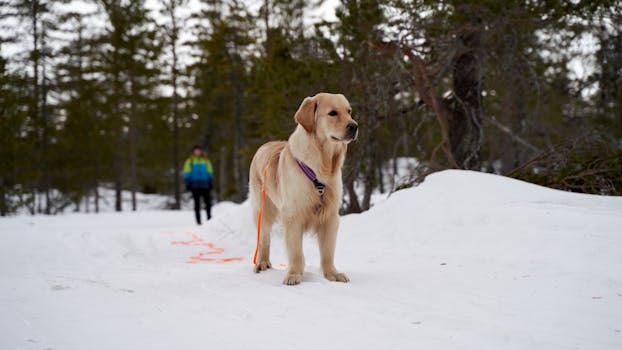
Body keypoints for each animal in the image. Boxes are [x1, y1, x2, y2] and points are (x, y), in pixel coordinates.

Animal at [247, 93, 356, 284]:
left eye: (349, 111)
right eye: (333, 113)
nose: (354, 126)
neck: (321, 167)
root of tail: (263, 146)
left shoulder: (330, 216)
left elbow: (328, 251)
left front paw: (332, 274)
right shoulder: (293, 215)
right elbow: (295, 251)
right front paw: (294, 275)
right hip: (263, 209)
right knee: (264, 239)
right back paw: (262, 263)